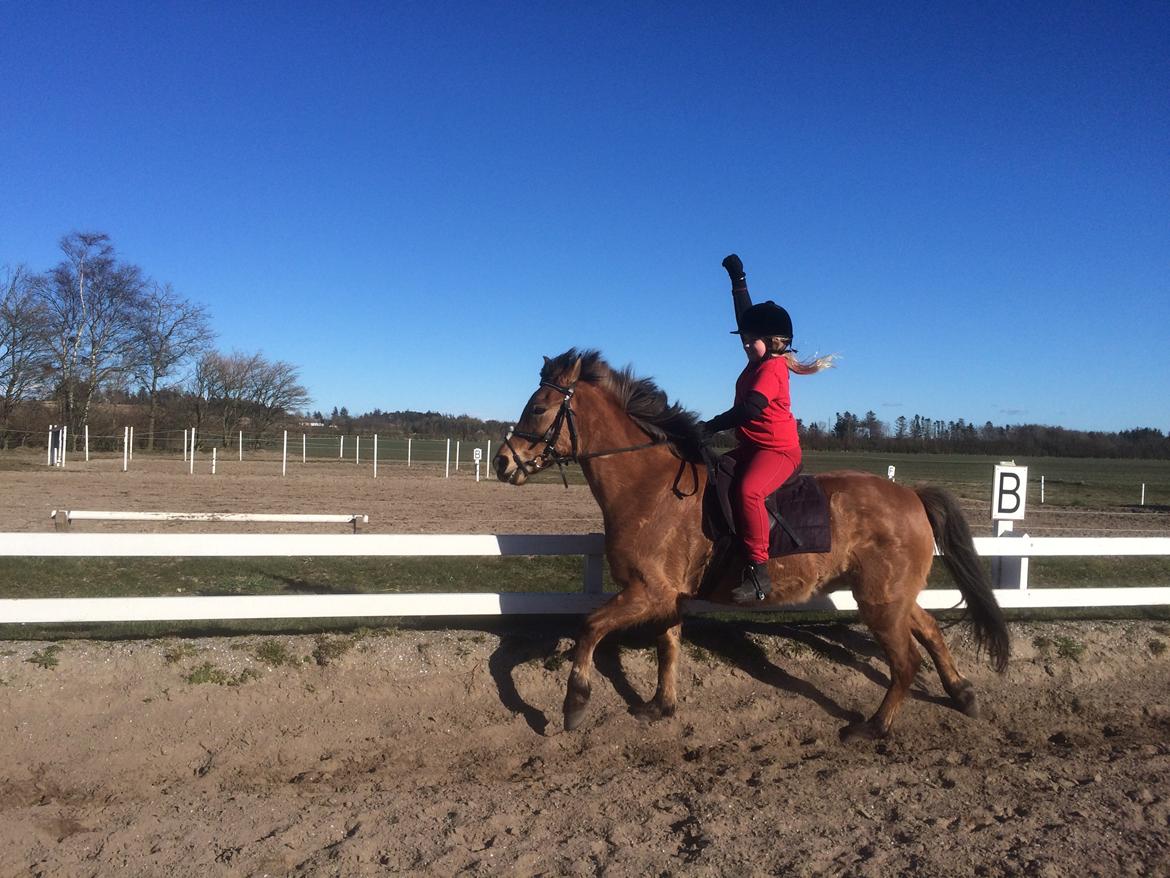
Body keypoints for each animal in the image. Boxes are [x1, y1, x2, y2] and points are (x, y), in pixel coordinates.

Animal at [489, 351, 1010, 744]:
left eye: (538, 408)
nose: (501, 463)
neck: (648, 486)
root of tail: (912, 494)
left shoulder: (647, 591)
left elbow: (590, 626)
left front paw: (574, 703)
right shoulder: (669, 596)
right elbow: (668, 646)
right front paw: (661, 706)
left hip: (880, 602)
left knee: (905, 662)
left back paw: (873, 728)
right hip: (893, 597)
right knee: (931, 632)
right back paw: (963, 694)